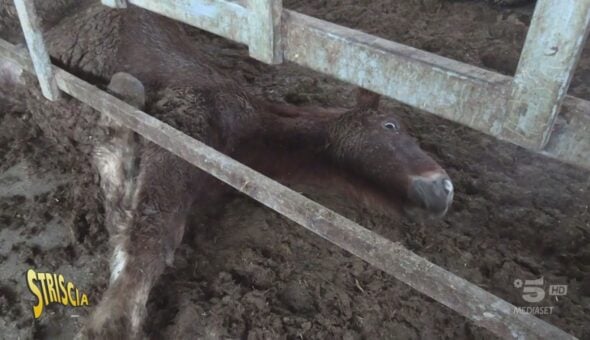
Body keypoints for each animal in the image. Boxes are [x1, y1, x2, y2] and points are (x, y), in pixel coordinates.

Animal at [3, 1, 454, 338]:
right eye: (392, 126)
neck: (251, 134)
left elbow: (126, 218)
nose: (443, 189)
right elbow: (148, 241)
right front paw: (109, 325)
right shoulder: (180, 129)